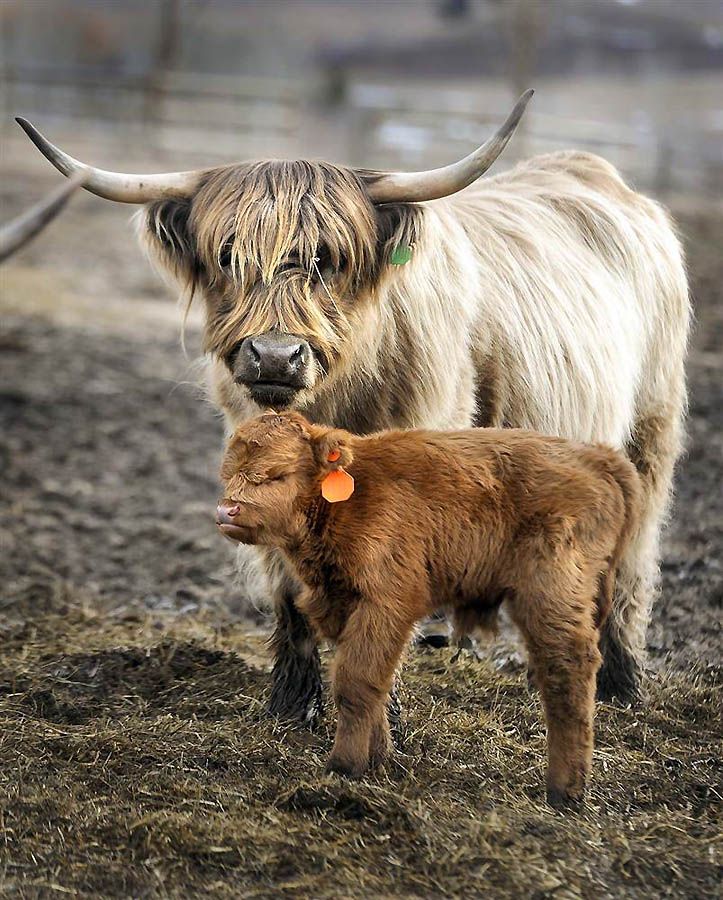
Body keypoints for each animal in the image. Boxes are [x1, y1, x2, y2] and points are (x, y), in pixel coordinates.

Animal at [218, 412, 640, 804]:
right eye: (229, 472)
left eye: (276, 474)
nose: (227, 511)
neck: (350, 500)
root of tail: (598, 457)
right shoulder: (345, 605)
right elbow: (377, 681)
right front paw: (378, 759)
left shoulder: (386, 601)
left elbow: (355, 682)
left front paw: (344, 766)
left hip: (552, 593)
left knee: (567, 671)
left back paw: (565, 792)